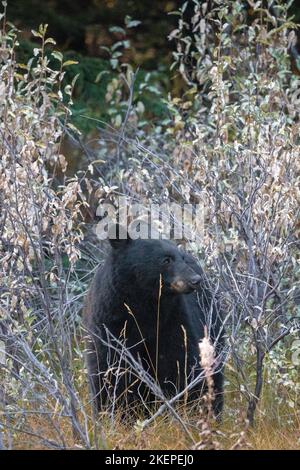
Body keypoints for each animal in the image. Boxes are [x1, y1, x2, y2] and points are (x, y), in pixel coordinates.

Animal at [83, 226, 224, 416]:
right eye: (166, 260)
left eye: (181, 258)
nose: (195, 280)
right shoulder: (110, 324)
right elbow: (110, 369)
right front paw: (115, 413)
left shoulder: (172, 321)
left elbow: (180, 363)